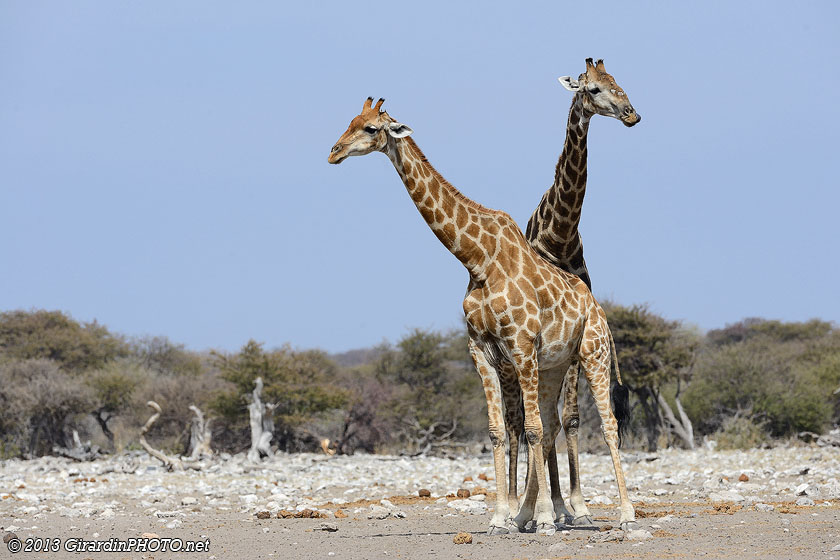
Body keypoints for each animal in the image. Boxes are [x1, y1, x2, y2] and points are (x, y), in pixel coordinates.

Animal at [328, 97, 635, 535]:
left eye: (371, 128)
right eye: (350, 121)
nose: (334, 152)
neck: (477, 260)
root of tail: (598, 308)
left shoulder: (520, 346)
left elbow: (530, 429)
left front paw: (542, 519)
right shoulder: (481, 351)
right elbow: (499, 431)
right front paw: (501, 518)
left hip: (592, 353)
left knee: (604, 424)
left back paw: (622, 513)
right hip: (554, 365)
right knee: (551, 424)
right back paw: (531, 513)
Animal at [518, 57, 641, 525]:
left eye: (618, 82)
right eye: (591, 89)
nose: (631, 113)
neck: (563, 235)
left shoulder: (571, 333)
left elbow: (568, 418)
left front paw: (578, 506)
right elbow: (545, 420)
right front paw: (551, 505)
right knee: (524, 421)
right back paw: (527, 503)